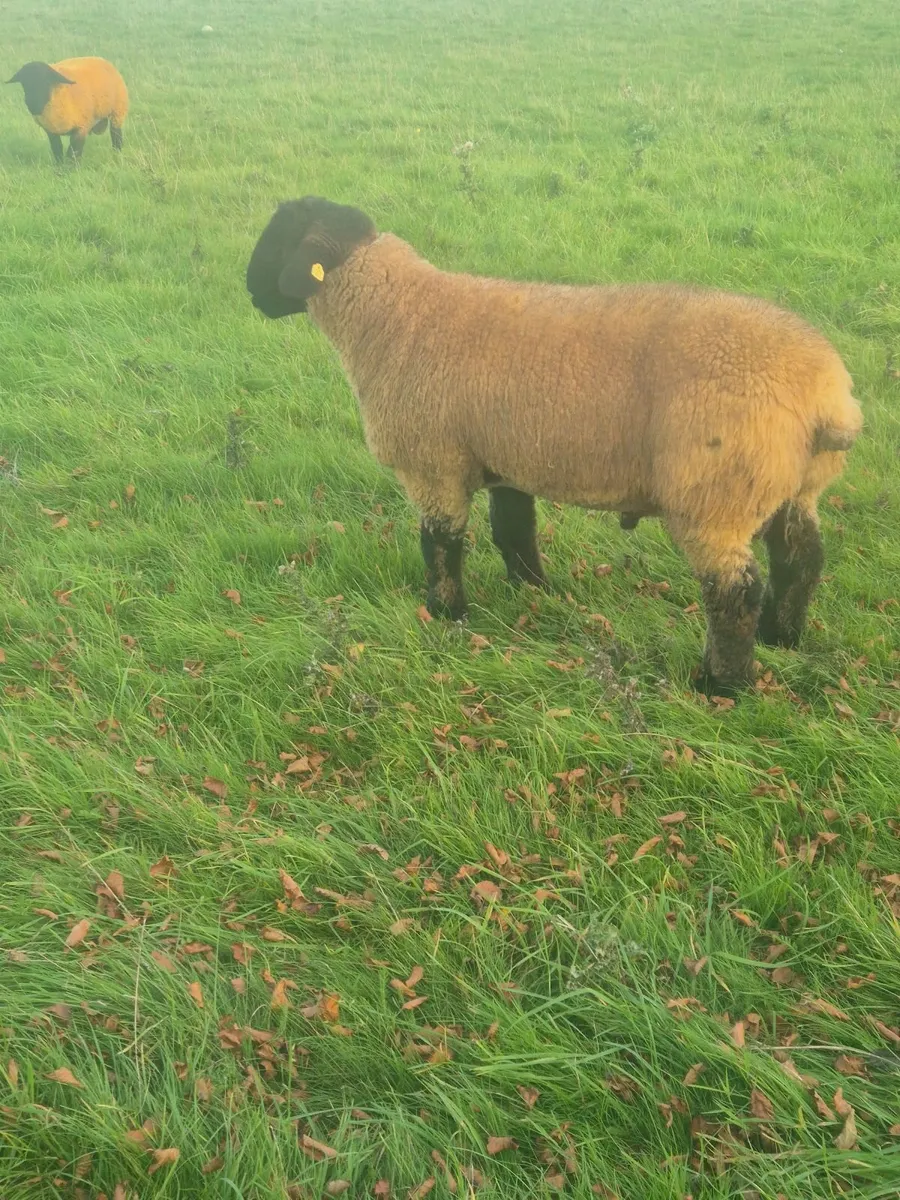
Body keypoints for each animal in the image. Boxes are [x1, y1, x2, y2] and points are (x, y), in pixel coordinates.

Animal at [246, 196, 862, 693]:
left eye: (279, 241)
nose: (250, 293)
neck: (395, 315)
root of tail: (826, 397)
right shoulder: (504, 460)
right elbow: (514, 530)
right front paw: (533, 592)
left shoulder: (434, 465)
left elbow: (440, 544)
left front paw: (444, 614)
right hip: (791, 486)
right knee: (801, 560)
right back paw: (783, 639)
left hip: (715, 493)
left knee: (734, 593)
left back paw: (721, 684)